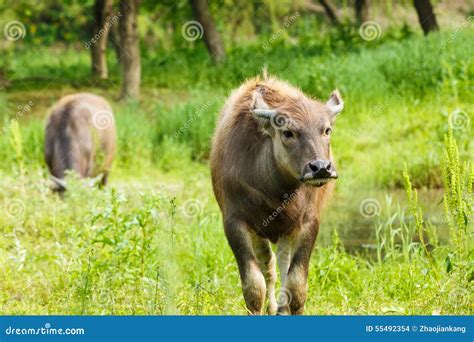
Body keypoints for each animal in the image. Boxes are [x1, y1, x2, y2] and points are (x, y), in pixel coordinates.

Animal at [209, 75, 342, 316]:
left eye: (326, 130)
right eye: (288, 132)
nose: (321, 168)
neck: (277, 192)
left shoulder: (307, 222)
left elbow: (296, 283)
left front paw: (290, 308)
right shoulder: (235, 222)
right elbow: (254, 285)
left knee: (282, 264)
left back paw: (282, 308)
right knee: (269, 266)